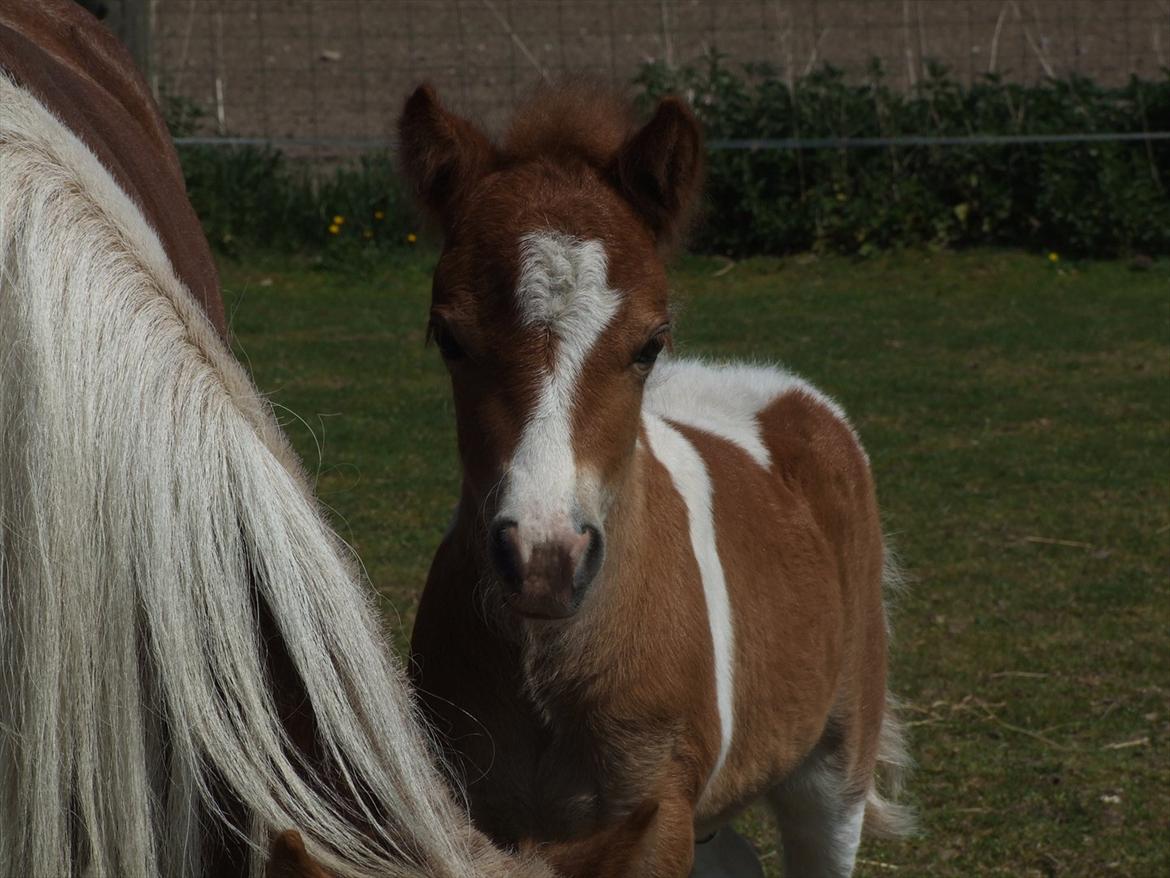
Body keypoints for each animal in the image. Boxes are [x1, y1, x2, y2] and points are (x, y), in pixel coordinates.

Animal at [397, 84, 907, 878]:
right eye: (449, 338)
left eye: (649, 343)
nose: (545, 562)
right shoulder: (471, 812)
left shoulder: (654, 813)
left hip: (833, 769)